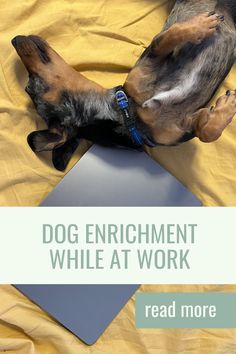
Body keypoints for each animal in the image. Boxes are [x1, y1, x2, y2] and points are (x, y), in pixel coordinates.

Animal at [12, 0, 236, 171]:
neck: (128, 115)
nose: (14, 39)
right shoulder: (184, 122)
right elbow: (205, 133)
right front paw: (229, 104)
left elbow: (207, 132)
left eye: (28, 87)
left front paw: (225, 107)